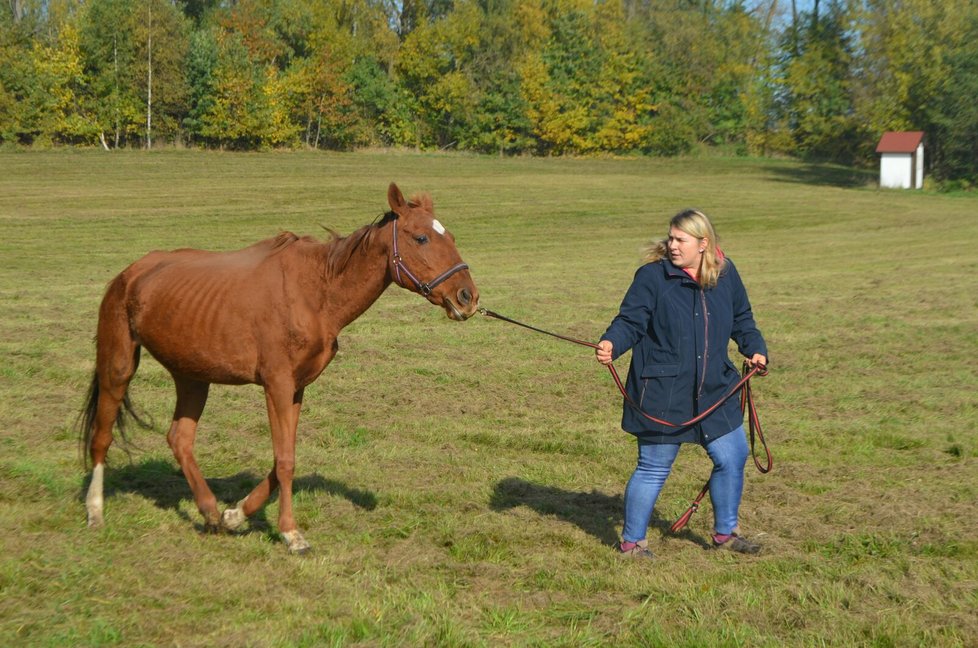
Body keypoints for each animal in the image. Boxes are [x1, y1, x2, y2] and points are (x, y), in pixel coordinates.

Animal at [78, 182, 478, 552]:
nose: (468, 297)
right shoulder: (277, 385)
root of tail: (130, 273)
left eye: (451, 236)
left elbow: (283, 457)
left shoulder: (296, 389)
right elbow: (284, 460)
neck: (315, 292)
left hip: (192, 377)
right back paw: (95, 510)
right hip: (118, 365)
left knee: (180, 439)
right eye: (421, 237)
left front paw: (235, 514)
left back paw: (210, 512)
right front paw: (290, 533)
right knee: (102, 435)